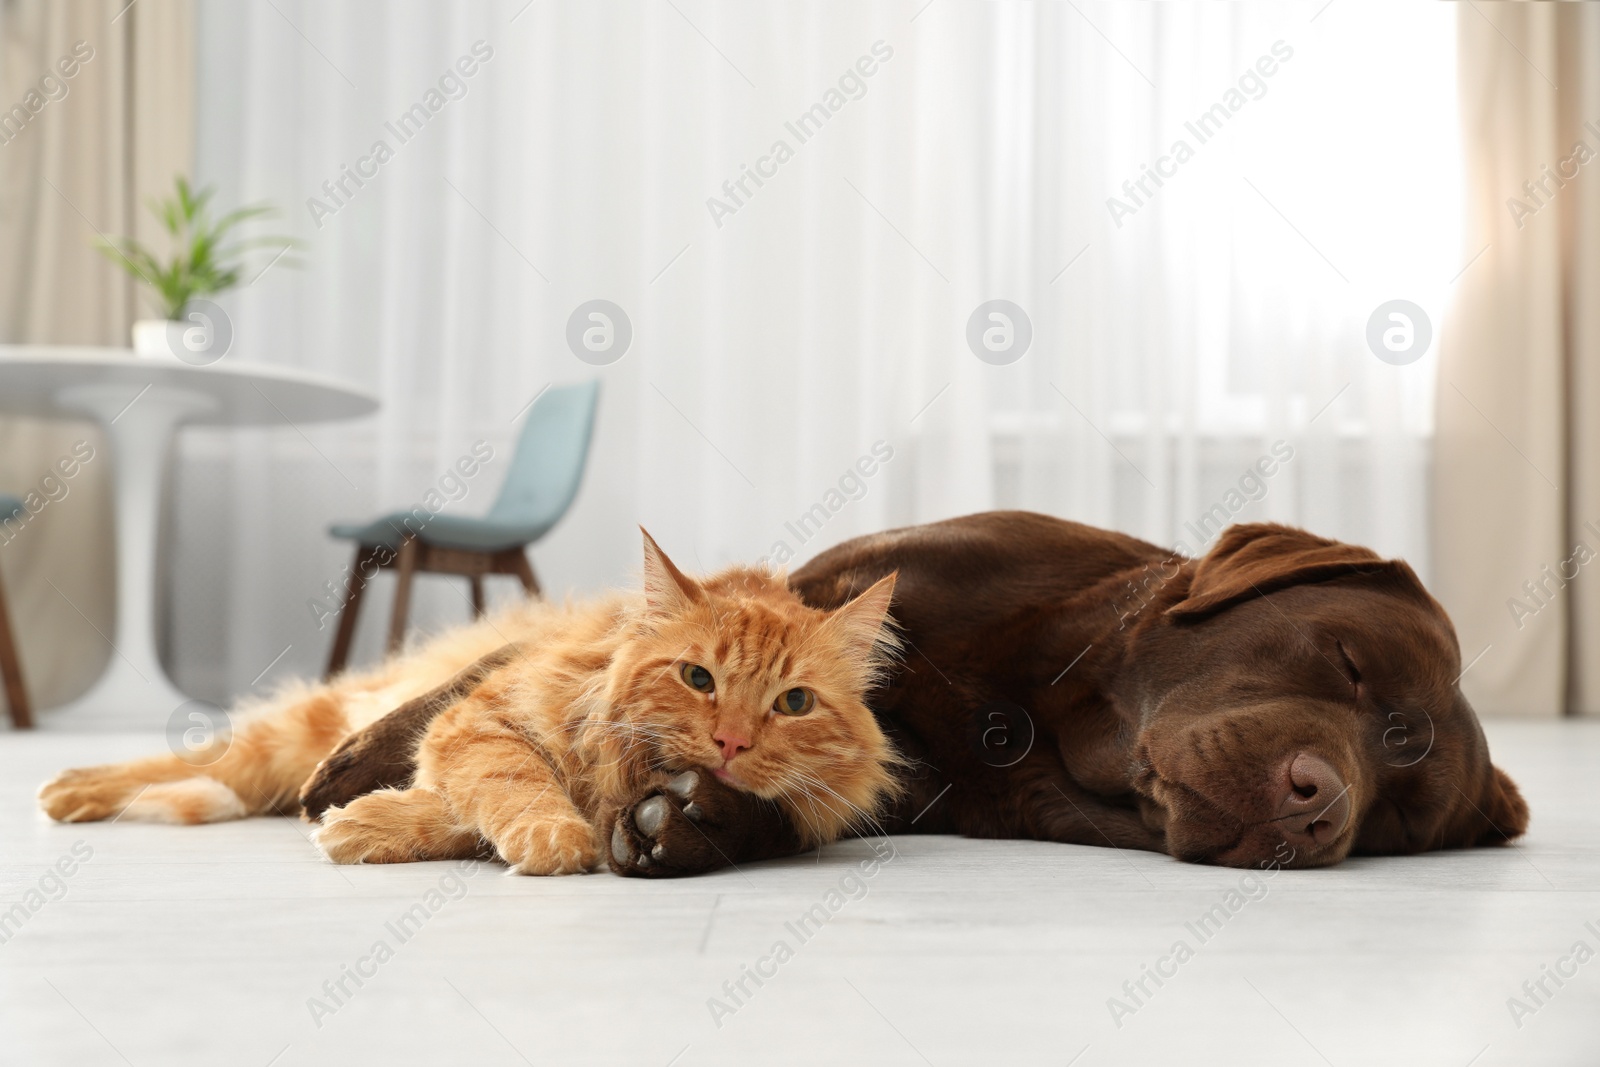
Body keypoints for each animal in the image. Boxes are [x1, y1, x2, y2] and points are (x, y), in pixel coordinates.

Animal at [40, 534, 902, 876]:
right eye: (698, 678)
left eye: (793, 702)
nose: (729, 743)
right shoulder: (477, 720)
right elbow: (514, 781)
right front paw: (553, 837)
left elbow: (454, 812)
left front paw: (361, 827)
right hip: (291, 735)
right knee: (194, 762)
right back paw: (72, 788)